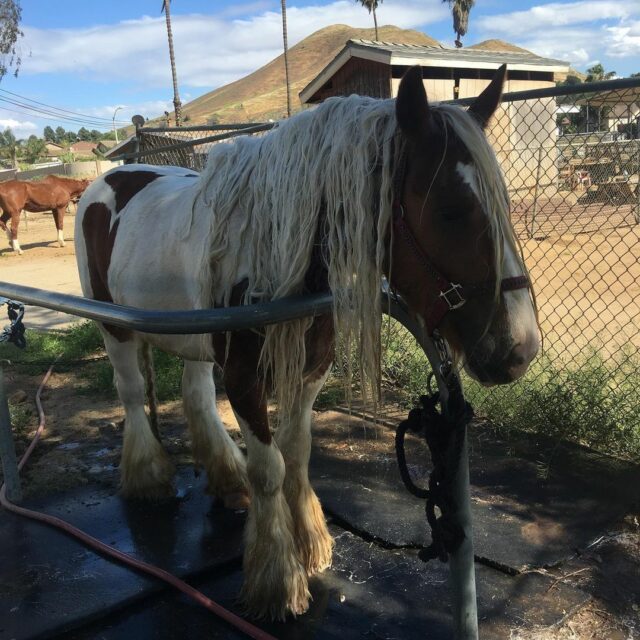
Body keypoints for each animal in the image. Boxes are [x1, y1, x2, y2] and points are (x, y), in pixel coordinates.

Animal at [74, 69, 536, 620]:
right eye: (449, 211)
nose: (521, 348)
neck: (278, 249)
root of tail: (105, 182)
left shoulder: (311, 369)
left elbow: (297, 451)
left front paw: (311, 541)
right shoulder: (245, 380)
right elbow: (270, 467)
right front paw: (278, 577)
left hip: (192, 338)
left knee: (195, 397)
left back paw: (226, 479)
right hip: (116, 330)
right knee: (129, 394)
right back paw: (148, 478)